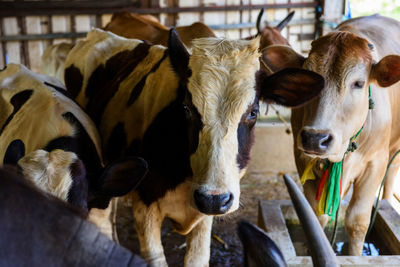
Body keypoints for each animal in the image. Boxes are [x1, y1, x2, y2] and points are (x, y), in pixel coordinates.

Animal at [62, 28, 324, 266]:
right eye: (187, 108)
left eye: (253, 112)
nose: (215, 199)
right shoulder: (145, 207)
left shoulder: (205, 213)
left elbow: (198, 258)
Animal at [262, 14, 400, 255]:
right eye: (307, 81)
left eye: (359, 83)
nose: (316, 138)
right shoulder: (302, 157)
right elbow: (316, 218)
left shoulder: (376, 162)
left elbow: (357, 222)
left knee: (391, 174)